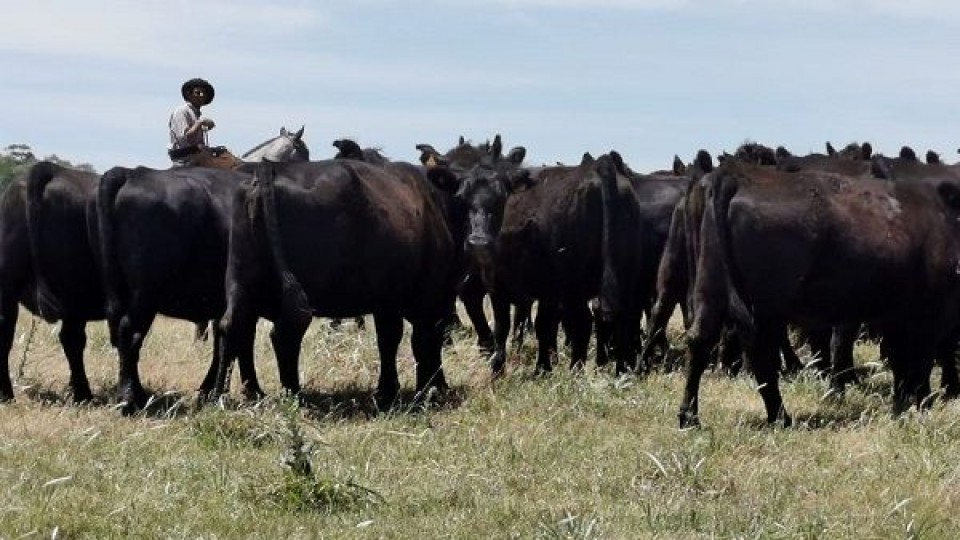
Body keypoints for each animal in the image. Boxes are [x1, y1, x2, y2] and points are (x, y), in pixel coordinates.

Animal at [0, 160, 102, 400]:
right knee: (73, 340)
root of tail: (49, 169)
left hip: (8, 285)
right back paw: (83, 393)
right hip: (75, 291)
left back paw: (6, 393)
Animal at [213, 158, 464, 408]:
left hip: (241, 278)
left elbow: (390, 339)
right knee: (285, 332)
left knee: (233, 327)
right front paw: (424, 392)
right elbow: (420, 340)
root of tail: (270, 169)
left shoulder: (388, 301)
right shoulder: (425, 294)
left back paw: (225, 395)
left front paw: (391, 391)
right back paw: (293, 395)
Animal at [680, 159, 960, 426]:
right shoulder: (930, 309)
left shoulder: (896, 312)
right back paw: (779, 417)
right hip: (765, 303)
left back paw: (691, 417)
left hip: (711, 286)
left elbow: (901, 360)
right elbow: (921, 359)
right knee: (760, 352)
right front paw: (923, 405)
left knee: (701, 340)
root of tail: (736, 175)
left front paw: (903, 405)